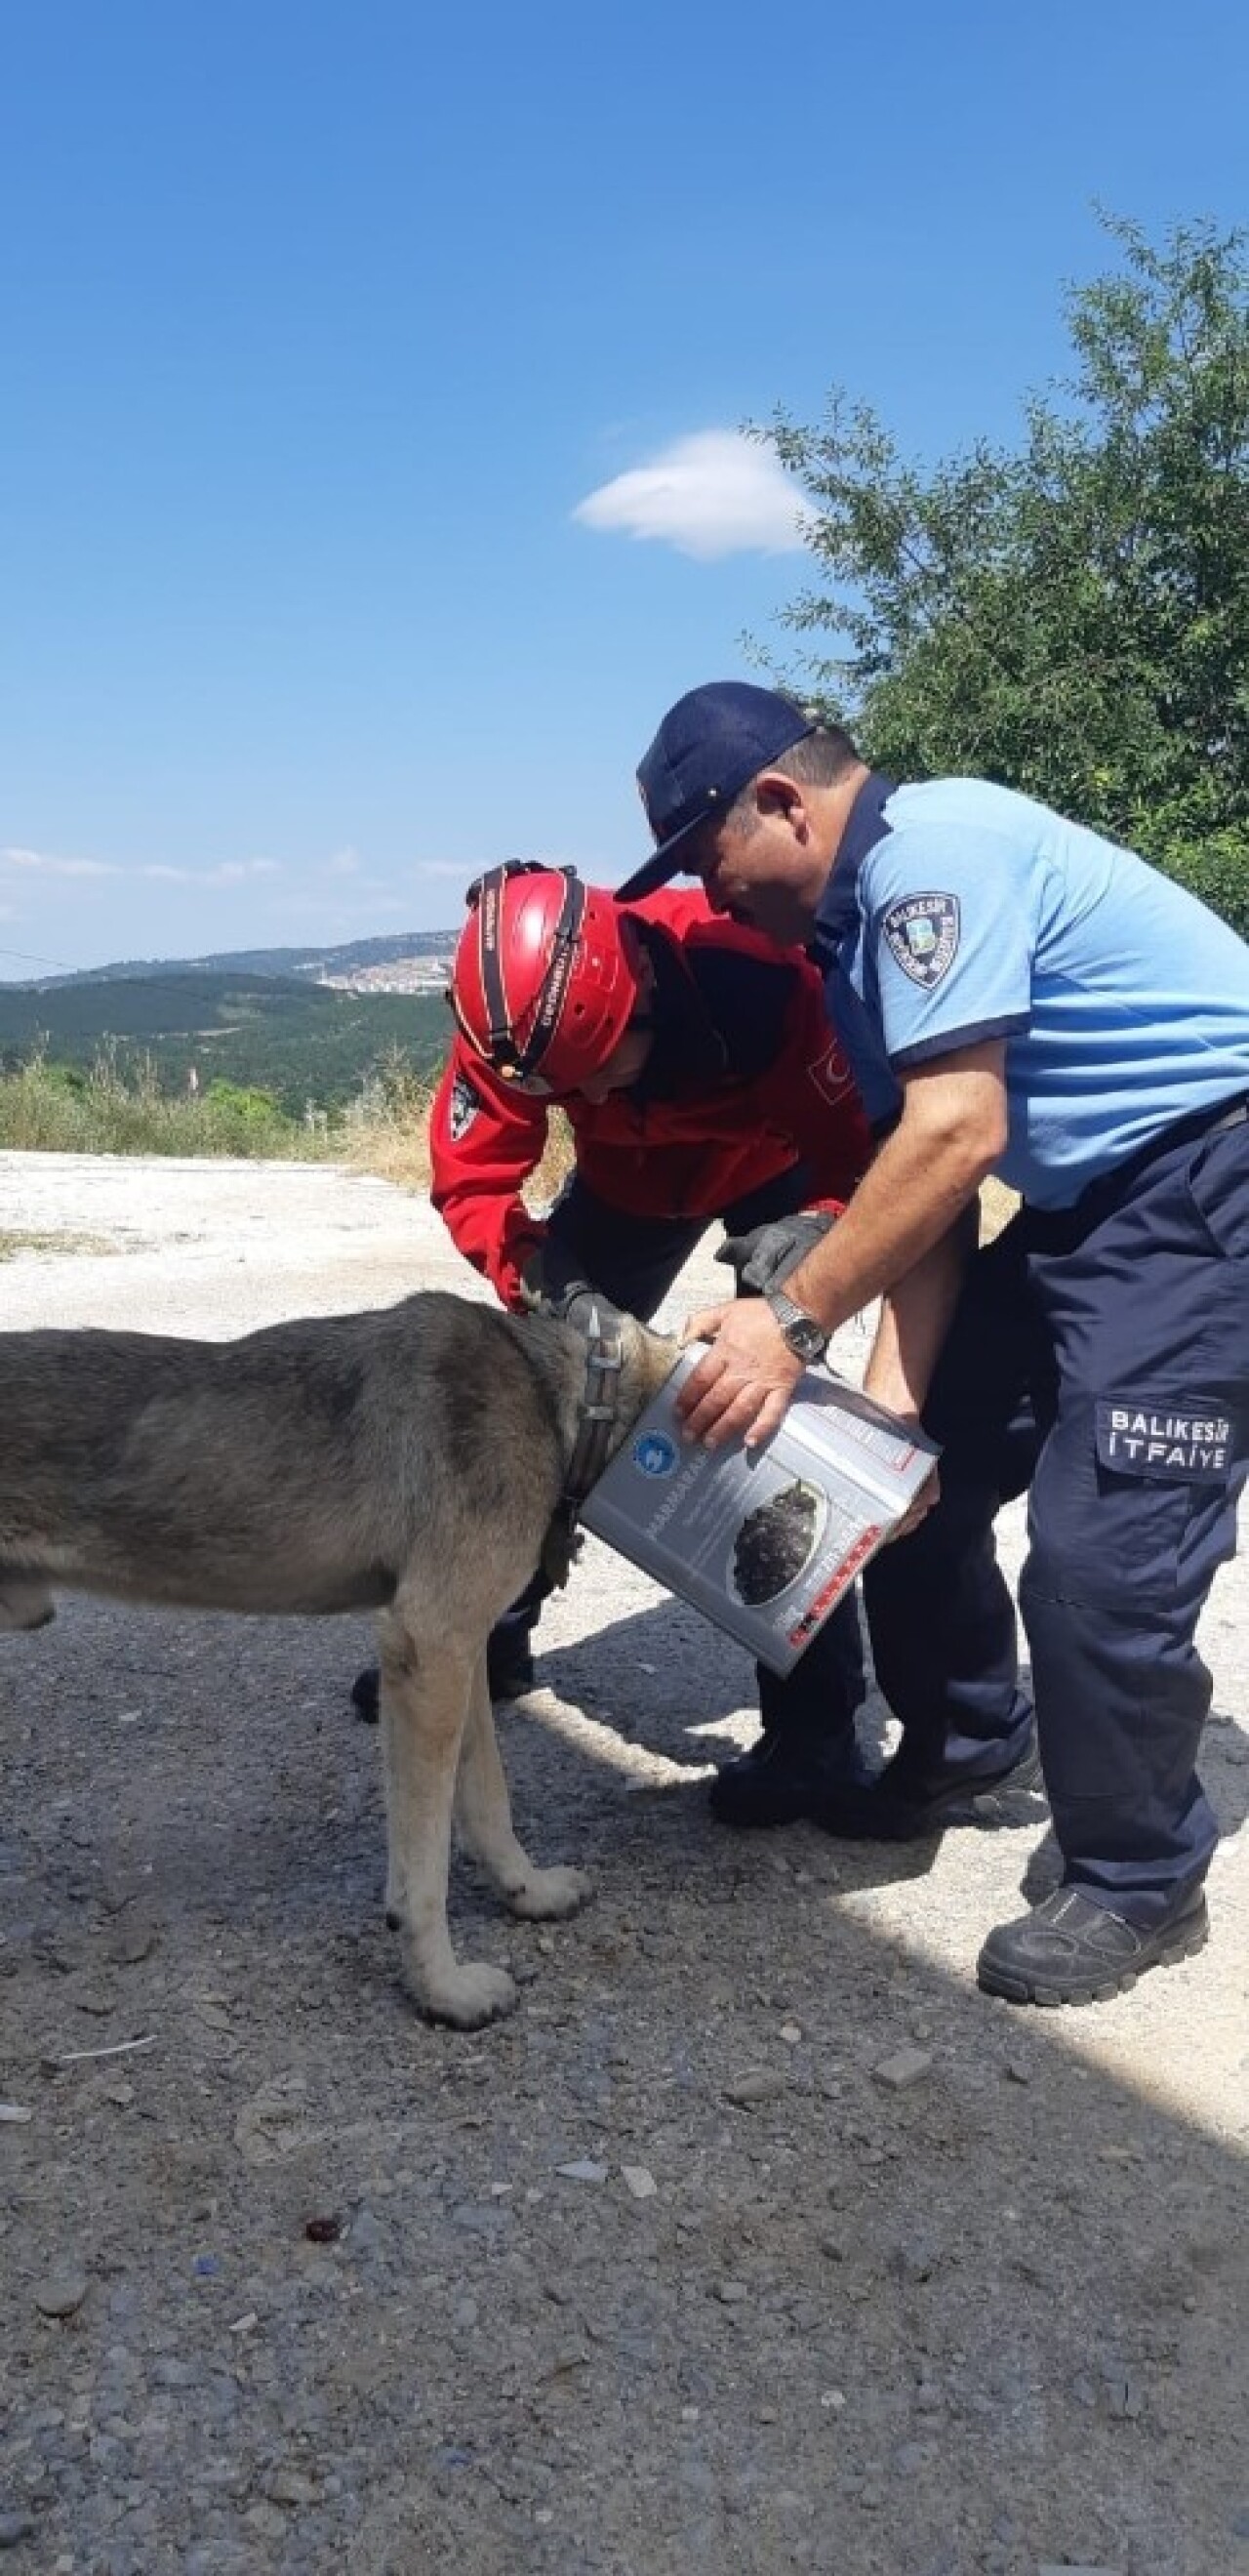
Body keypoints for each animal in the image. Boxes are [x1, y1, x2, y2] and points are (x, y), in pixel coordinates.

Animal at [0, 1298, 674, 2019]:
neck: (567, 1394)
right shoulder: (431, 1648)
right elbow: (424, 1868)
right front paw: (443, 1989)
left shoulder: (461, 1653)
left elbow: (488, 1796)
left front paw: (528, 1890)